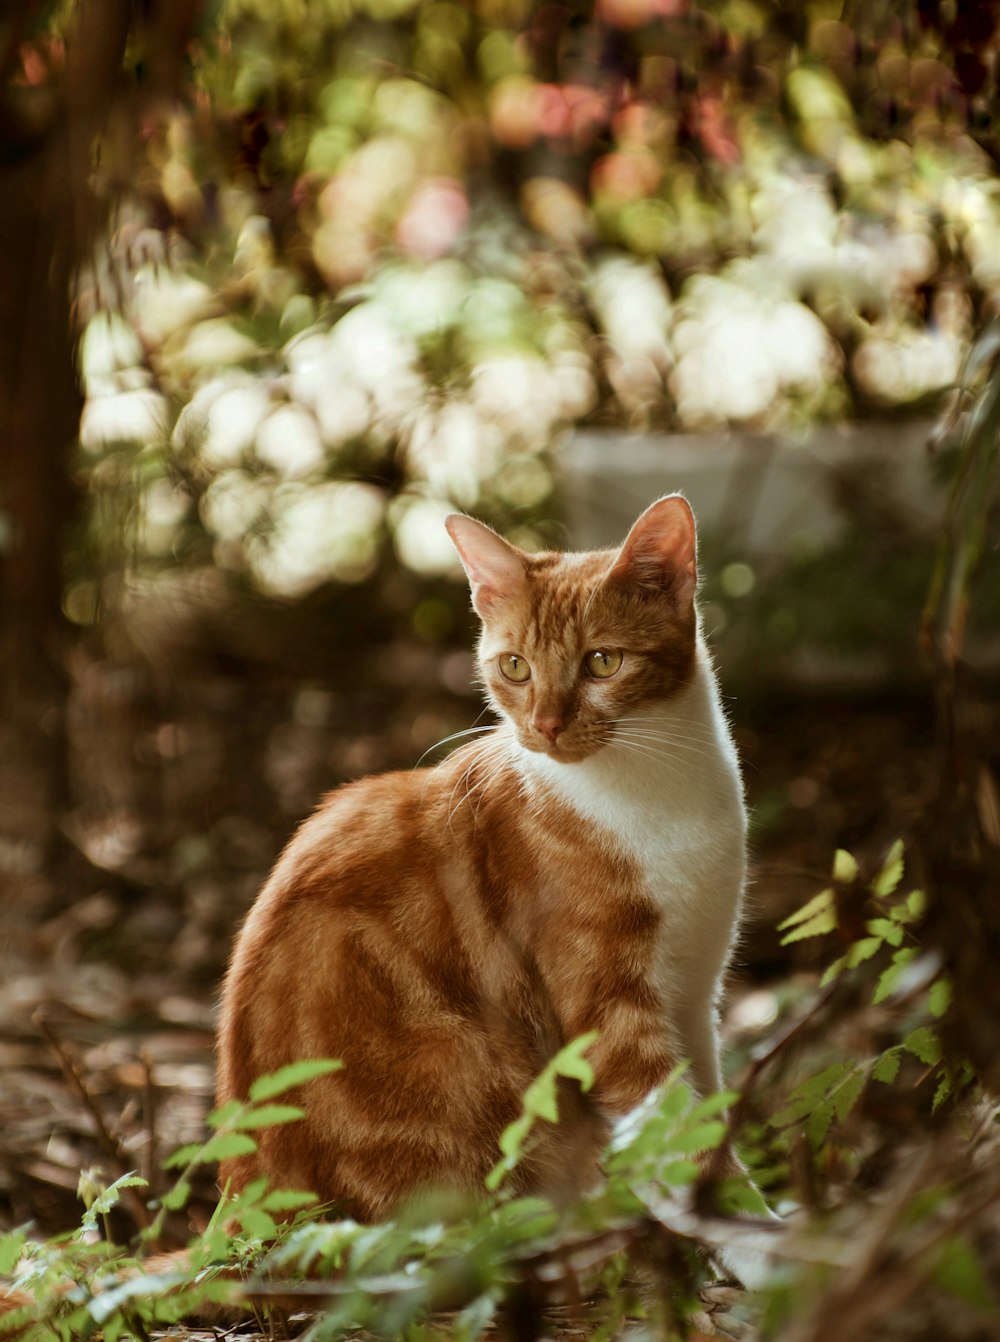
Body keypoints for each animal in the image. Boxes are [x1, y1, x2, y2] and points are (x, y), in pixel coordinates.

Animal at [216, 493, 762, 1277]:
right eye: (515, 667)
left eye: (602, 661)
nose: (546, 725)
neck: (659, 793)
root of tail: (242, 1202)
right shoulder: (612, 1018)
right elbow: (680, 1138)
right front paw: (765, 1247)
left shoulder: (695, 996)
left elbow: (709, 1114)